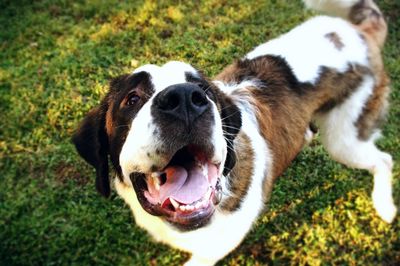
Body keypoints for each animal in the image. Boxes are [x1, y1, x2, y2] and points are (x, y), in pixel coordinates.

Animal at [72, 0, 396, 264]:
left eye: (204, 91)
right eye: (132, 99)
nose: (185, 99)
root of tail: (358, 31)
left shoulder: (221, 241)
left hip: (344, 139)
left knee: (383, 159)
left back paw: (385, 206)